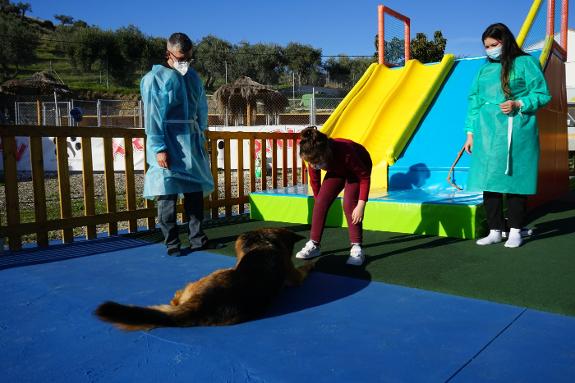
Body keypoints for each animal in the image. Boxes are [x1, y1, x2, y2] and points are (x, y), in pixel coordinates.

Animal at [95, 228, 316, 330]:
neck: (262, 243)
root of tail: (201, 304)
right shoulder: (295, 276)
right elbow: (305, 268)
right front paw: (313, 263)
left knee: (177, 298)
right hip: (218, 271)